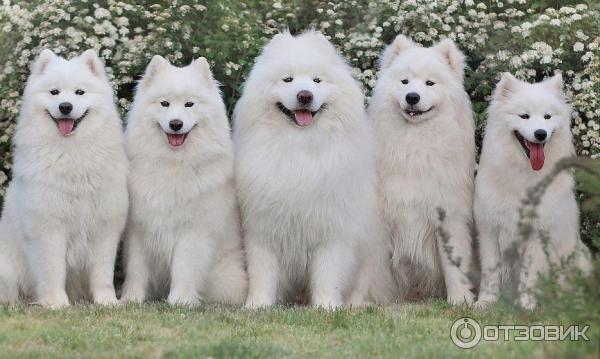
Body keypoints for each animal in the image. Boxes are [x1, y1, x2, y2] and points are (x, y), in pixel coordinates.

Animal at [0, 49, 127, 308]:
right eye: (54, 92)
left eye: (79, 92)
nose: (65, 106)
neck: (72, 152)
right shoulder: (49, 229)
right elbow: (53, 270)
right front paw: (56, 303)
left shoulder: (105, 229)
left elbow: (103, 274)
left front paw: (107, 302)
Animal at [120, 54, 247, 306]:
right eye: (164, 104)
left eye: (189, 104)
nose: (176, 124)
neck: (173, 164)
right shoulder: (140, 227)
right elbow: (136, 270)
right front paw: (131, 299)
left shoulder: (192, 230)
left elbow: (184, 269)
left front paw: (179, 301)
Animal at [234, 30, 384, 310]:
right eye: (288, 79)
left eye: (317, 80)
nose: (305, 95)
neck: (300, 146)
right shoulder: (262, 229)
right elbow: (262, 273)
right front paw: (258, 305)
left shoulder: (331, 229)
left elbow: (327, 274)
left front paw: (327, 306)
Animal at [370, 35, 478, 306]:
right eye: (404, 81)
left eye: (430, 83)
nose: (412, 97)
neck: (414, 145)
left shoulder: (448, 215)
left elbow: (454, 265)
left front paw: (460, 300)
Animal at [476, 74, 592, 310]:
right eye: (524, 116)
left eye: (547, 117)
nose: (540, 134)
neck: (524, 174)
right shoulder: (489, 229)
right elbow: (490, 271)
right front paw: (486, 302)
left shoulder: (537, 233)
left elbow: (529, 273)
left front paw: (527, 305)